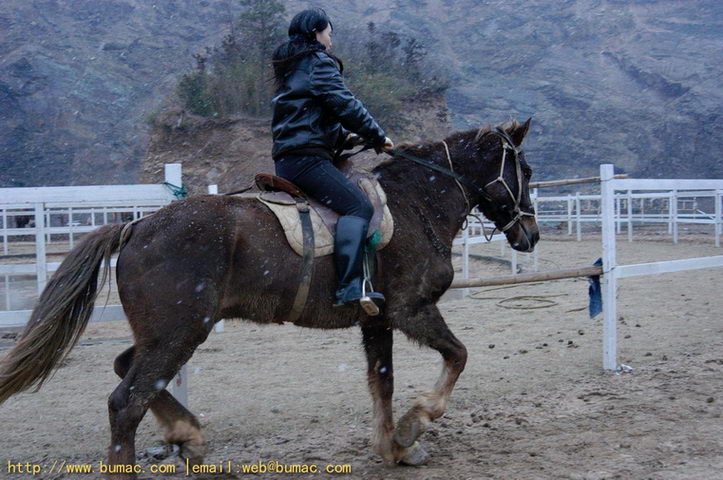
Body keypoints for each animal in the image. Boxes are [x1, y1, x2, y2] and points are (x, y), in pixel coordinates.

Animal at [0, 118, 536, 474]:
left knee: (128, 371)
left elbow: (382, 383)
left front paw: (394, 447)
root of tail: (135, 227)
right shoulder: (412, 309)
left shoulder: (377, 320)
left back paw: (187, 434)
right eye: (526, 170)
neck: (415, 204)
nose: (529, 233)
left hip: (166, 334)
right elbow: (457, 356)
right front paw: (414, 424)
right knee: (125, 402)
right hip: (179, 333)